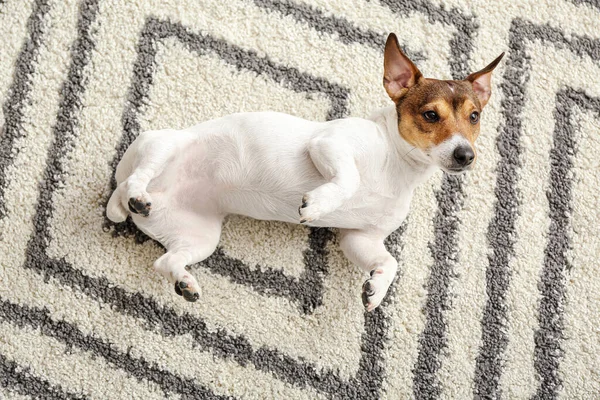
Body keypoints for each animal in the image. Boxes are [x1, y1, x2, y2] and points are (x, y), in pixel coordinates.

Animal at [106, 32, 502, 310]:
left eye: (474, 116)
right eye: (431, 115)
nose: (466, 155)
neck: (398, 164)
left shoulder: (360, 238)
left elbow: (389, 263)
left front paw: (376, 289)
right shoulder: (328, 144)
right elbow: (348, 179)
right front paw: (319, 204)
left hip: (200, 237)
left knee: (165, 261)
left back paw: (184, 282)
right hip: (162, 144)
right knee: (137, 177)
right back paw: (137, 194)